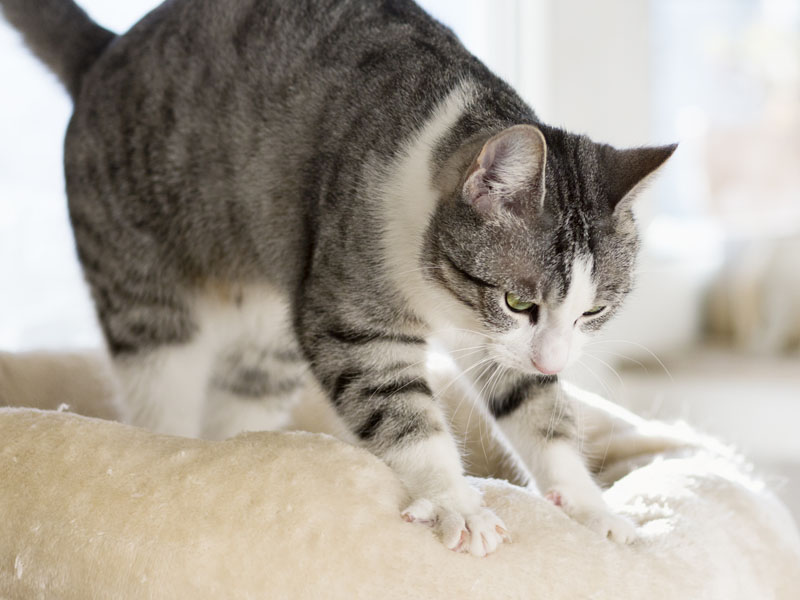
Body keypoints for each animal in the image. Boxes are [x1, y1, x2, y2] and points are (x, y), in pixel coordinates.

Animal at [1, 0, 676, 556]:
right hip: (145, 289)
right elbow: (399, 406)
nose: (554, 357)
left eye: (594, 311)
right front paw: (456, 503)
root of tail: (105, 51)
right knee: (160, 387)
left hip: (266, 327)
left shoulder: (496, 343)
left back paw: (232, 454)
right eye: (517, 300)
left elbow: (538, 407)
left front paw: (591, 508)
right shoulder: (350, 307)